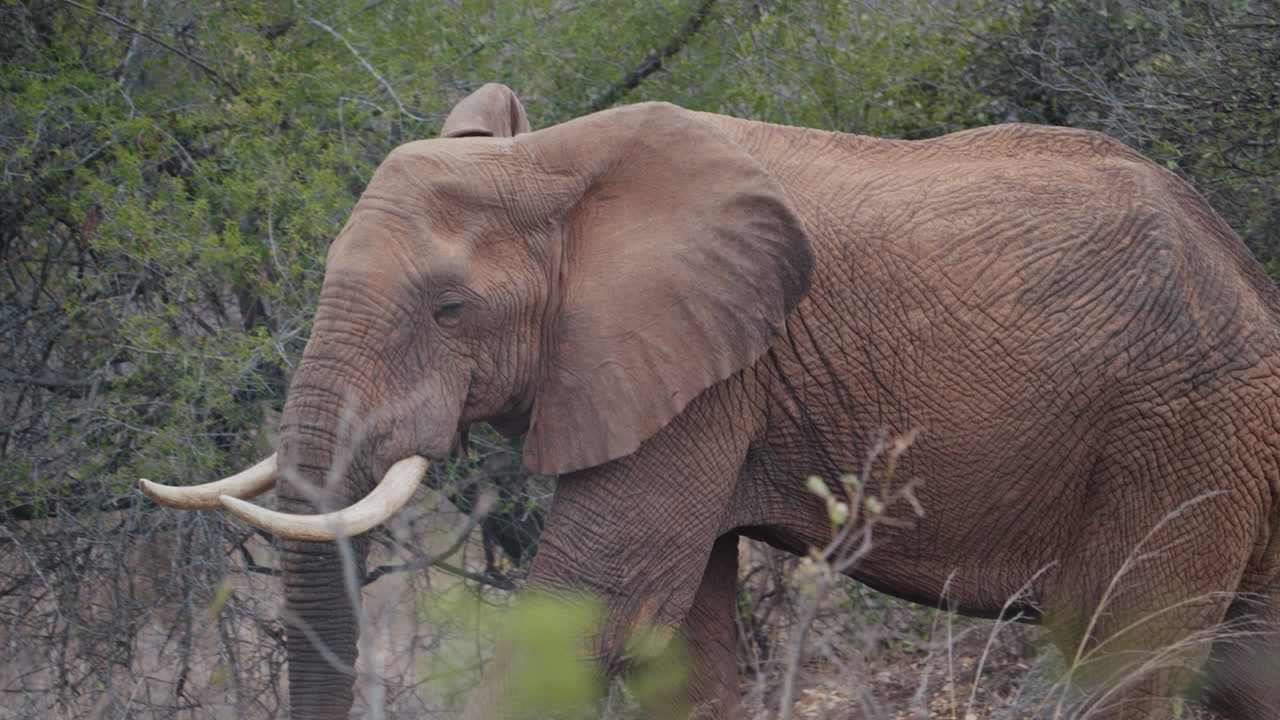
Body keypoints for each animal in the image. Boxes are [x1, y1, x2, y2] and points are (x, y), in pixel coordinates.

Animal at [140, 83, 1280, 719]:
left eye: (448, 308)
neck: (553, 163)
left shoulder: (711, 374)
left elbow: (595, 604)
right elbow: (673, 645)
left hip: (1183, 431)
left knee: (1124, 661)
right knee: (1242, 670)